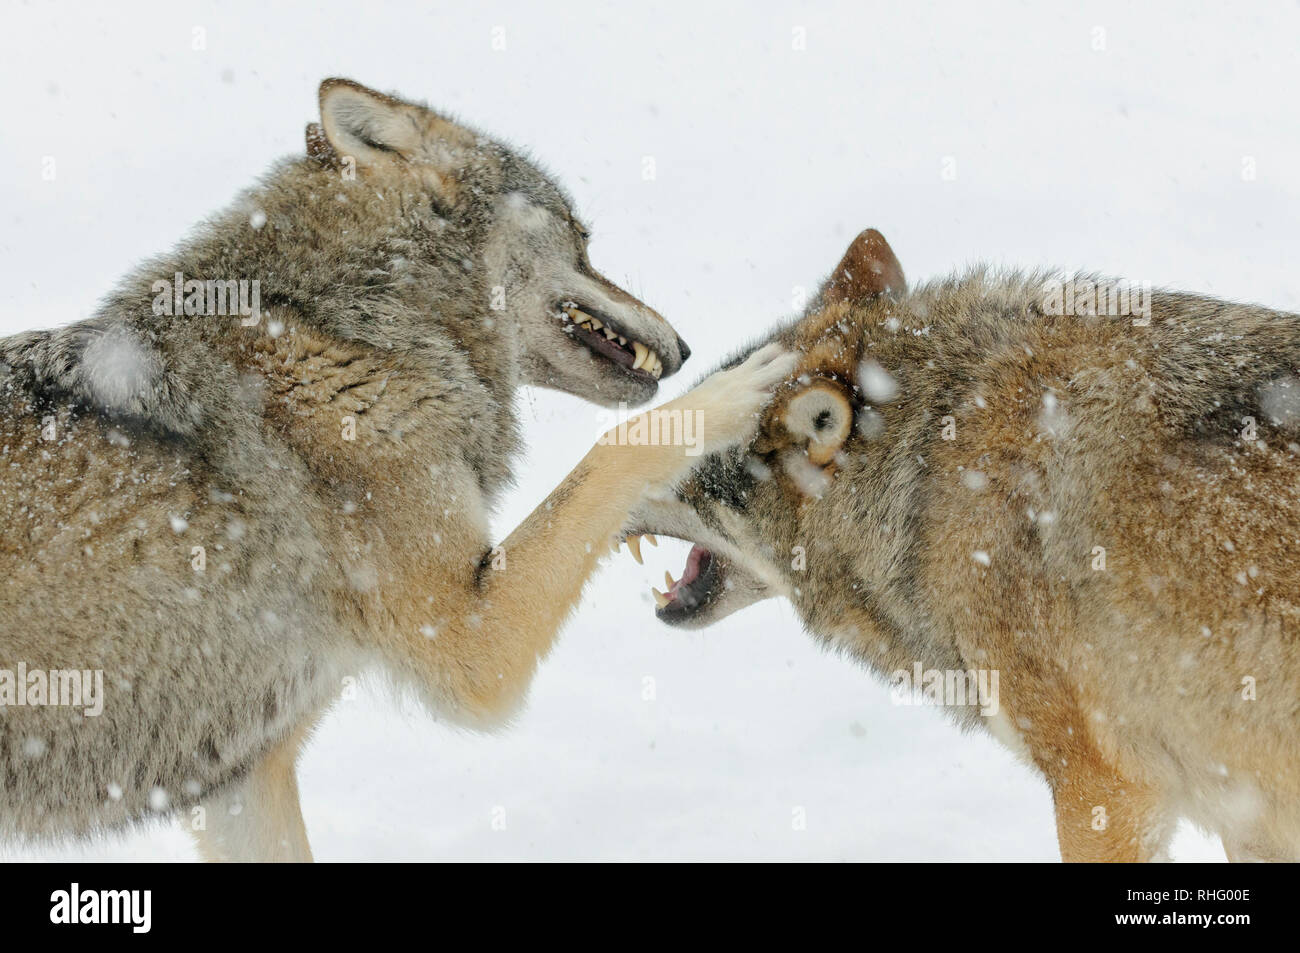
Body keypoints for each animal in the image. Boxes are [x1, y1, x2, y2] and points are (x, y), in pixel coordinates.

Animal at [0, 78, 790, 858]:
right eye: (581, 236)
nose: (685, 349)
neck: (359, 333)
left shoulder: (243, 781)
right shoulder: (470, 645)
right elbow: (620, 444)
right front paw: (728, 392)